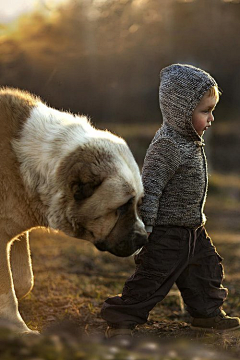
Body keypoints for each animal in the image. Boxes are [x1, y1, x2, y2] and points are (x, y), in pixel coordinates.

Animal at [0, 88, 148, 334]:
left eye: (137, 204)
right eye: (121, 208)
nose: (144, 238)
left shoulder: (13, 230)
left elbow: (23, 280)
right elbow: (7, 290)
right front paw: (20, 330)